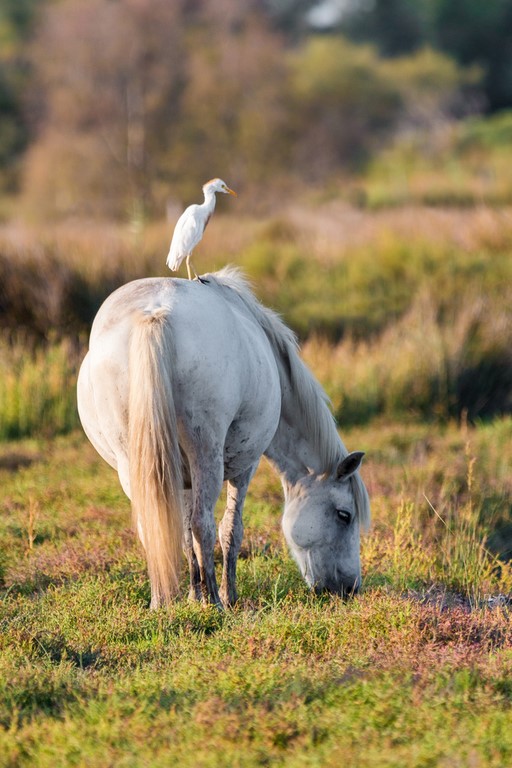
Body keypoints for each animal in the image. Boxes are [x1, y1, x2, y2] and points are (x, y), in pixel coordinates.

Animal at [78, 268, 370, 608]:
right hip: (207, 453)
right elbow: (230, 529)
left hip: (133, 465)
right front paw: (228, 596)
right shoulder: (245, 466)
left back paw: (162, 602)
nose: (349, 588)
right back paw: (215, 601)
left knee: (157, 526)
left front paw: (193, 595)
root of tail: (155, 314)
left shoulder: (181, 477)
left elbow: (183, 533)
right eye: (344, 515)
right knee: (204, 524)